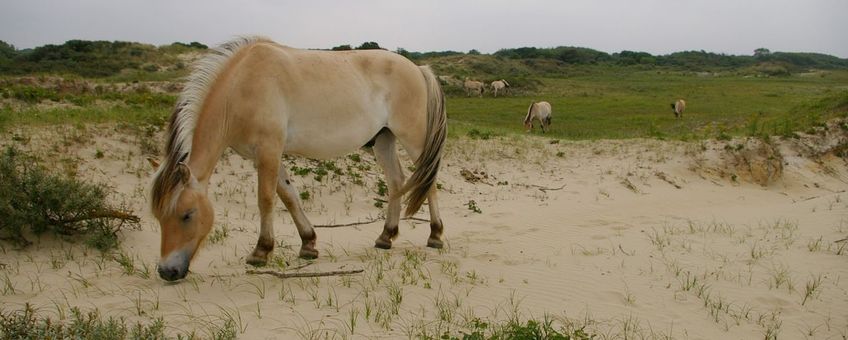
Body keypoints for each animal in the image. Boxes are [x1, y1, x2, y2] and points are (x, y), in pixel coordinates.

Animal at [149, 37, 448, 282]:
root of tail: (418, 69)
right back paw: (386, 236)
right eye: (159, 216)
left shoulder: (269, 150)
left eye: (187, 215)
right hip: (384, 140)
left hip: (414, 139)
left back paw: (435, 235)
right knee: (396, 181)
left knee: (429, 180)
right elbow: (289, 195)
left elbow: (266, 199)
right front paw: (308, 244)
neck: (241, 86)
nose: (166, 271)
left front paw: (261, 251)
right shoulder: (266, 155)